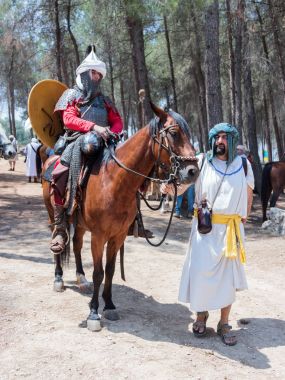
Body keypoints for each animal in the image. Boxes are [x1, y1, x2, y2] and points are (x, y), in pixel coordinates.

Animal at [42, 103, 199, 330]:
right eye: (174, 133)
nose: (193, 171)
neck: (115, 181)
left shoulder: (118, 235)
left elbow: (110, 270)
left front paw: (108, 305)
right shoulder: (99, 236)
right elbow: (98, 272)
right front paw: (93, 313)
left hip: (80, 224)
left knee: (77, 245)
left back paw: (81, 278)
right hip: (52, 213)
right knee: (58, 237)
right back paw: (59, 278)